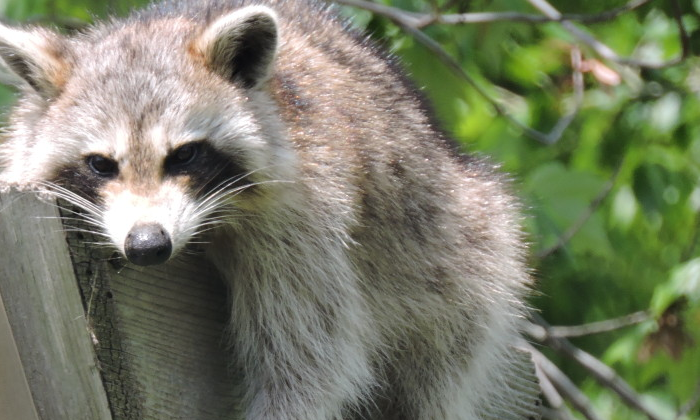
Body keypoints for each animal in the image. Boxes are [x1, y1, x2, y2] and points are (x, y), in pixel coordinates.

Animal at [0, 0, 540, 420]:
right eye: (100, 164)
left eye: (185, 155)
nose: (148, 244)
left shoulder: (303, 220)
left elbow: (310, 360)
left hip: (460, 259)